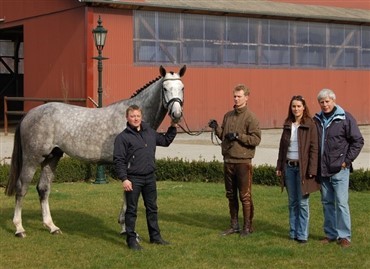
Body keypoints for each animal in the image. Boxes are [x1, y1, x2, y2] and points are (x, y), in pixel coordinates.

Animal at [4, 65, 186, 237]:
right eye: (165, 88)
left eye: (182, 87)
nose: (176, 114)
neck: (132, 122)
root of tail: (30, 114)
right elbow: (128, 194)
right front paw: (125, 229)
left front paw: (124, 227)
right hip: (32, 159)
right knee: (22, 188)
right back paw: (19, 228)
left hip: (52, 158)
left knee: (43, 188)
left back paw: (52, 227)